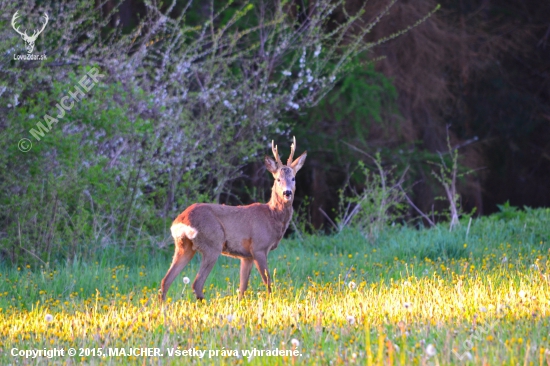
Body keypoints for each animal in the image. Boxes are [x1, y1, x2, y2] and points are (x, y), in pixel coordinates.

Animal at [160, 137, 308, 300]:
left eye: (293, 178)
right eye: (278, 179)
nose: (287, 193)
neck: (271, 216)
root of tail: (180, 221)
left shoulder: (246, 256)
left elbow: (242, 288)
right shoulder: (259, 247)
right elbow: (268, 282)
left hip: (184, 246)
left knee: (165, 281)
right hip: (212, 243)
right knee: (196, 284)